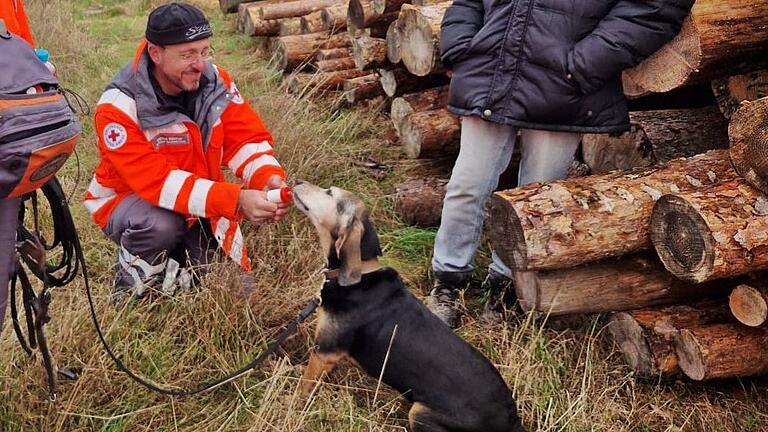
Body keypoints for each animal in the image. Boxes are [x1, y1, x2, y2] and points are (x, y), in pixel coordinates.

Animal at [292, 181, 524, 432]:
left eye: (330, 193)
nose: (297, 182)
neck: (363, 271)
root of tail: (511, 421)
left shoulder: (324, 352)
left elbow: (304, 386)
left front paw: (294, 405)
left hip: (419, 412)